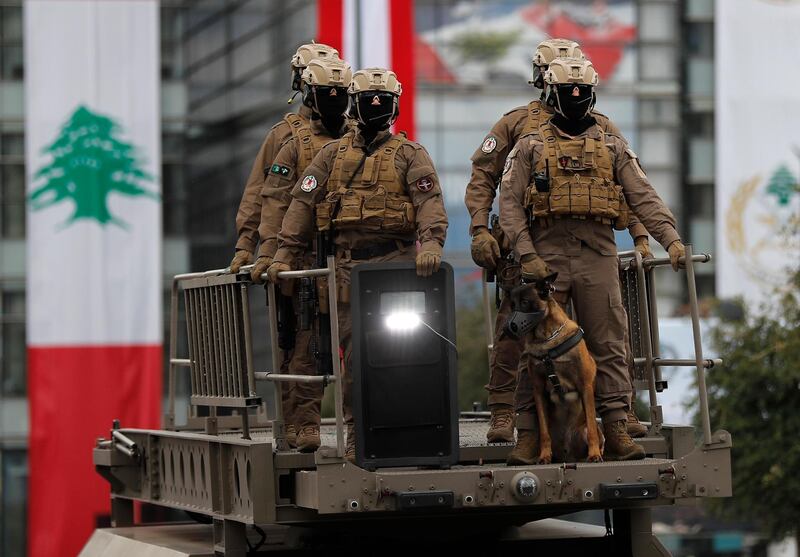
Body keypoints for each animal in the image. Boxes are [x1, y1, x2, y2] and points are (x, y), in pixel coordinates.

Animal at [510, 278, 604, 464]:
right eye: (512, 305)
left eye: (524, 302)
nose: (509, 327)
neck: (546, 341)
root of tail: (568, 453)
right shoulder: (538, 391)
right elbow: (544, 432)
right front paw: (544, 456)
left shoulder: (585, 386)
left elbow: (591, 428)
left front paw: (594, 454)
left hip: (591, 429)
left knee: (596, 432)